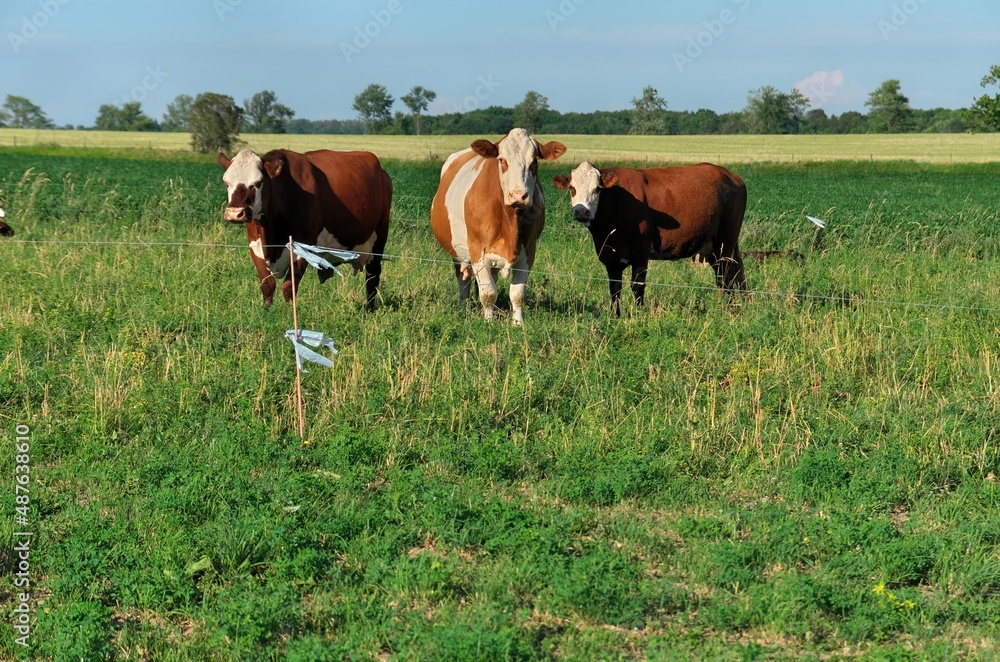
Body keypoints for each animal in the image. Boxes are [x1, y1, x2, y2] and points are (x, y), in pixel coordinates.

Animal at [219, 148, 390, 308]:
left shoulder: (303, 245)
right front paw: (267, 312)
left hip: (379, 236)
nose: (234, 213)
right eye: (226, 183)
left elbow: (288, 287)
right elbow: (267, 286)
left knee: (372, 276)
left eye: (258, 182)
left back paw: (369, 309)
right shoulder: (255, 245)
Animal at [432, 128, 568, 326]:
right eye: (502, 160)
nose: (518, 196)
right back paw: (464, 308)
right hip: (457, 252)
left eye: (534, 161)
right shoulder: (477, 251)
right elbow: (488, 293)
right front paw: (488, 322)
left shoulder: (528, 252)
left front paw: (518, 323)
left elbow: (517, 294)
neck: (510, 220)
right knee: (463, 281)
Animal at [552, 162, 748, 316]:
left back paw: (725, 309)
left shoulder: (640, 252)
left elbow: (637, 286)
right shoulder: (610, 256)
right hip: (716, 245)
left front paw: (638, 316)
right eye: (572, 188)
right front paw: (616, 317)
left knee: (726, 276)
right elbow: (614, 289)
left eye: (597, 189)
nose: (581, 212)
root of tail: (728, 174)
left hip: (724, 241)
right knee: (734, 273)